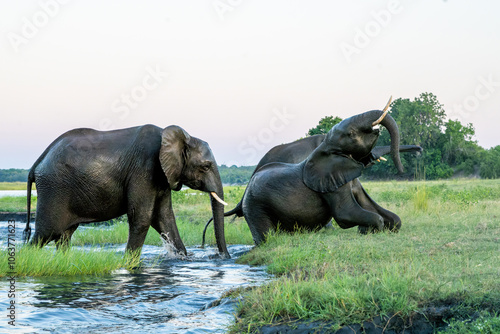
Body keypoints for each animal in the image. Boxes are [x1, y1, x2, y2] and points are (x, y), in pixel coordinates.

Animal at [24, 124, 231, 258]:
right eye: (205, 166)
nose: (223, 257)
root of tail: (37, 163)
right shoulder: (144, 168)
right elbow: (142, 217)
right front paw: (129, 263)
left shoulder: (163, 176)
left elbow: (164, 217)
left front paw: (182, 258)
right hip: (53, 188)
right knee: (45, 234)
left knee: (64, 235)